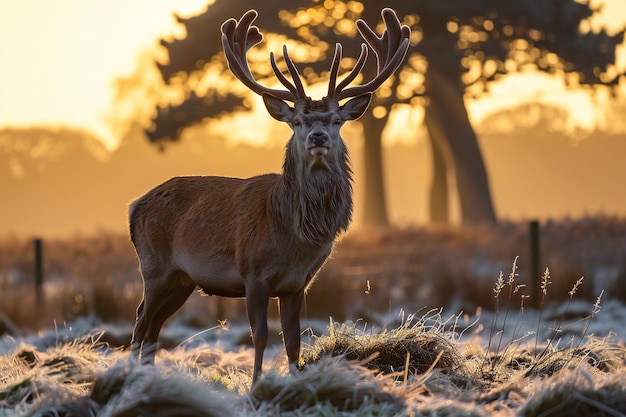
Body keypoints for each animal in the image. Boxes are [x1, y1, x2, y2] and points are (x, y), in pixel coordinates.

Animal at [129, 8, 408, 384]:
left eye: (336, 120)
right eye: (297, 121)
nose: (318, 137)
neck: (294, 236)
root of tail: (134, 207)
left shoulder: (297, 284)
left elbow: (293, 340)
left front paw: (294, 382)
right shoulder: (253, 273)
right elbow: (260, 335)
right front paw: (256, 385)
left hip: (181, 279)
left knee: (154, 327)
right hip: (154, 267)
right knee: (140, 323)